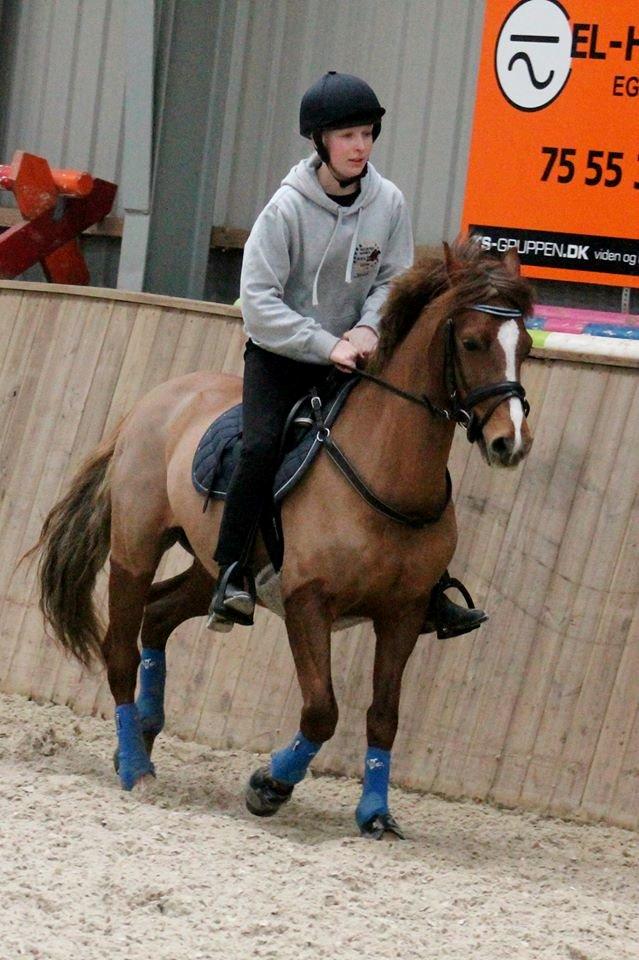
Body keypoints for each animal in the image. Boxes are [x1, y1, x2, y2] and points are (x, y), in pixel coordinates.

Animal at [31, 238, 534, 839]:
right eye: (472, 341)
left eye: (526, 345)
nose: (511, 443)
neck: (386, 472)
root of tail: (154, 402)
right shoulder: (307, 602)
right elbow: (322, 709)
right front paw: (268, 786)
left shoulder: (404, 612)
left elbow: (383, 716)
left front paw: (375, 814)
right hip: (136, 549)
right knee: (120, 650)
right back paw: (135, 766)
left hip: (213, 567)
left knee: (159, 615)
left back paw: (146, 734)